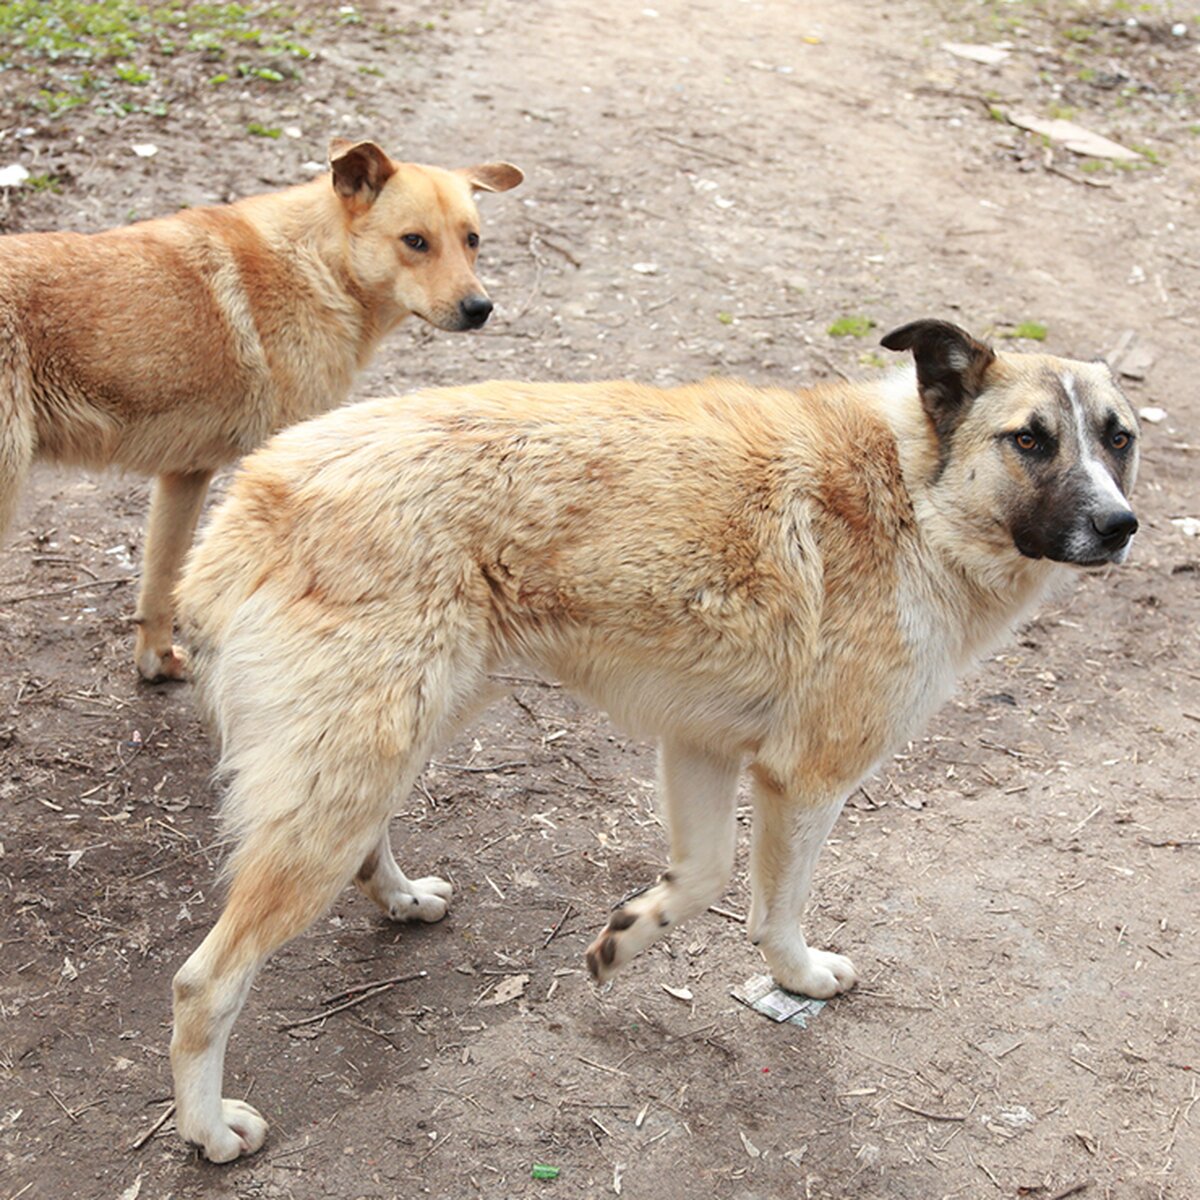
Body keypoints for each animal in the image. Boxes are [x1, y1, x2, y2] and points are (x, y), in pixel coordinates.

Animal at [1, 137, 525, 681]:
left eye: (471, 240)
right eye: (415, 241)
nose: (480, 308)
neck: (318, 267)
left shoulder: (185, 474)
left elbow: (162, 584)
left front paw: (158, 663)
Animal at [166, 316, 1132, 1152]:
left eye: (1118, 439)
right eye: (1031, 441)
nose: (1121, 525)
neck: (914, 494)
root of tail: (251, 499)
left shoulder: (699, 744)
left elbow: (702, 878)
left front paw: (628, 933)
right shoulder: (807, 779)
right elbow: (777, 909)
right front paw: (798, 977)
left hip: (394, 741)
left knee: (366, 847)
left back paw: (402, 898)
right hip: (351, 774)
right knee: (203, 982)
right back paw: (209, 1129)